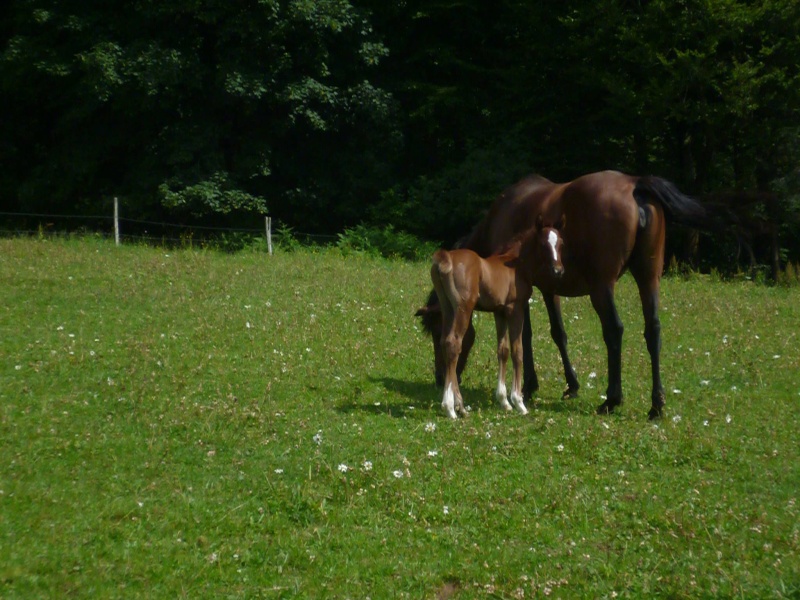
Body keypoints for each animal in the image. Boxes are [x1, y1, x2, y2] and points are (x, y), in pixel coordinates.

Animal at [432, 218, 564, 420]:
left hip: (447, 308)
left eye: (561, 243)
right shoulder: (515, 309)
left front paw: (504, 401)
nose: (558, 270)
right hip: (464, 309)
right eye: (543, 244)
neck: (516, 265)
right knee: (453, 344)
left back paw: (460, 407)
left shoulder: (499, 312)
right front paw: (519, 402)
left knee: (445, 343)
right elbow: (518, 351)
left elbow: (503, 350)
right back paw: (450, 408)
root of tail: (446, 256)